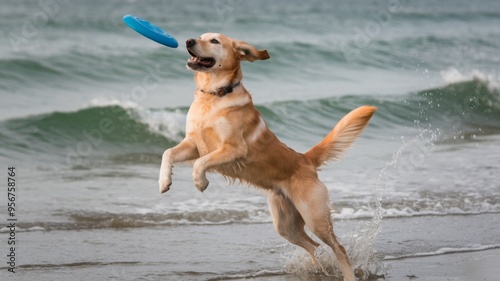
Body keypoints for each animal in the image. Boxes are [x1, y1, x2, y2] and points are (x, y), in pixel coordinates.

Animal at [158, 33, 376, 280]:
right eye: (201, 36)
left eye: (214, 41)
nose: (188, 41)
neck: (214, 96)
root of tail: (306, 159)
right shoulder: (192, 145)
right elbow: (167, 153)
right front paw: (164, 181)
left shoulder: (233, 148)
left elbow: (201, 163)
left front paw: (200, 182)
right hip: (285, 225)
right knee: (314, 246)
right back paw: (315, 269)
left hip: (314, 217)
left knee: (338, 247)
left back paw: (347, 275)